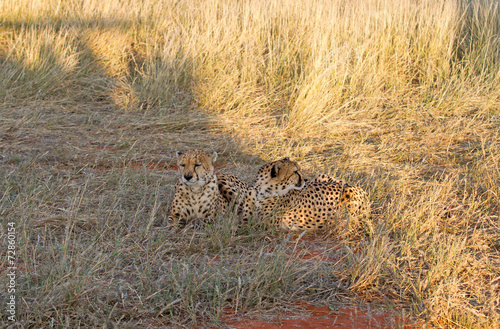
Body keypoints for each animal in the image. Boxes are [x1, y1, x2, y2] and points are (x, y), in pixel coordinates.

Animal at [240, 158, 370, 229]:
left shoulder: (266, 224)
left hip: (349, 193)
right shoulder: (246, 217)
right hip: (323, 176)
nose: (306, 179)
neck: (261, 191)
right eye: (295, 172)